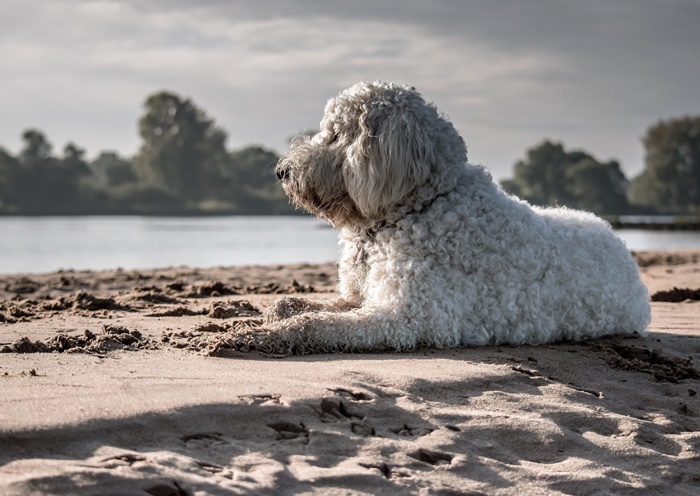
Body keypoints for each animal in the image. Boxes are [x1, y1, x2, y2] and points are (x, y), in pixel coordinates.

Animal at [242, 80, 652, 352]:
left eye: (336, 135)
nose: (282, 171)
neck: (420, 205)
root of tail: (619, 242)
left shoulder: (409, 317)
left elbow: (316, 324)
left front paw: (259, 334)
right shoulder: (360, 297)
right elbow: (309, 306)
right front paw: (277, 309)